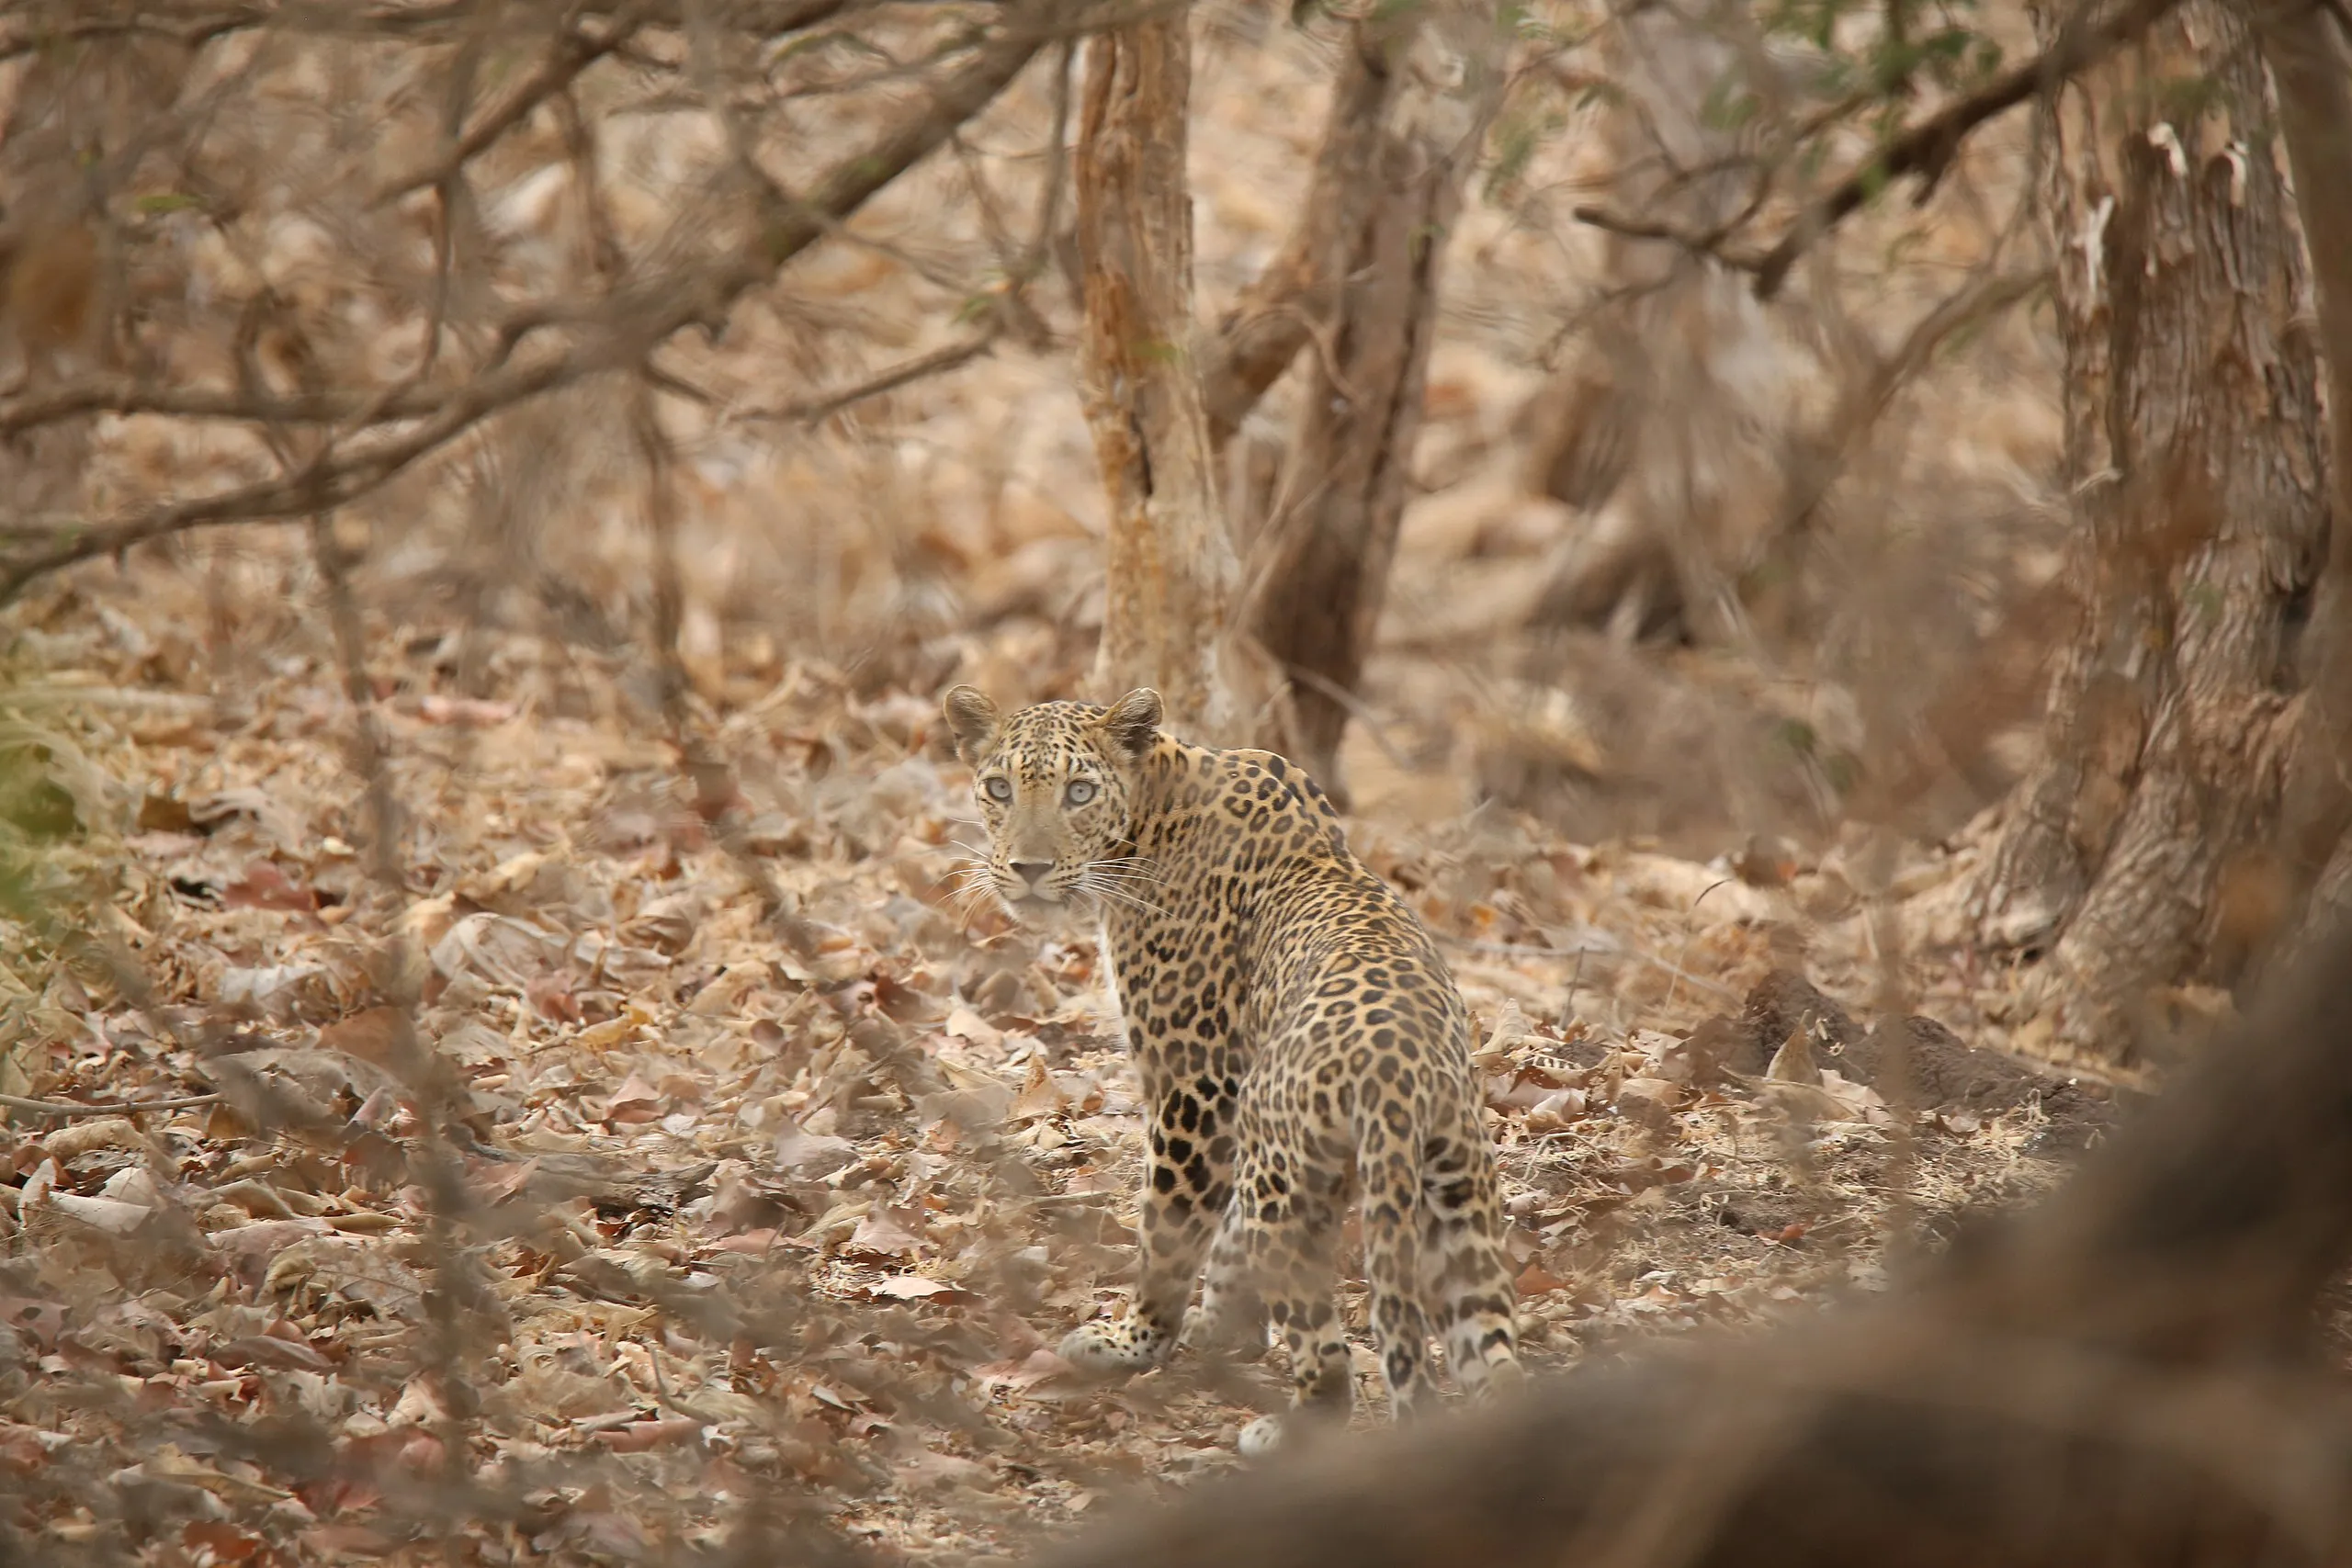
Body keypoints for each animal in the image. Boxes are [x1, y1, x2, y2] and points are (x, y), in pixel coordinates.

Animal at [941, 686, 1523, 1457]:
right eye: (1000, 788)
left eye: (1079, 791)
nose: (1030, 869)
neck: (1152, 807)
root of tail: (1394, 1074)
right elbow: (1228, 1238)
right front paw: (1221, 1325)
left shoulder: (1197, 1088)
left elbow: (1170, 1229)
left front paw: (1137, 1338)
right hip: (1456, 1191)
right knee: (1494, 1350)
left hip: (1290, 1182)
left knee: (1330, 1357)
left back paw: (1284, 1429)